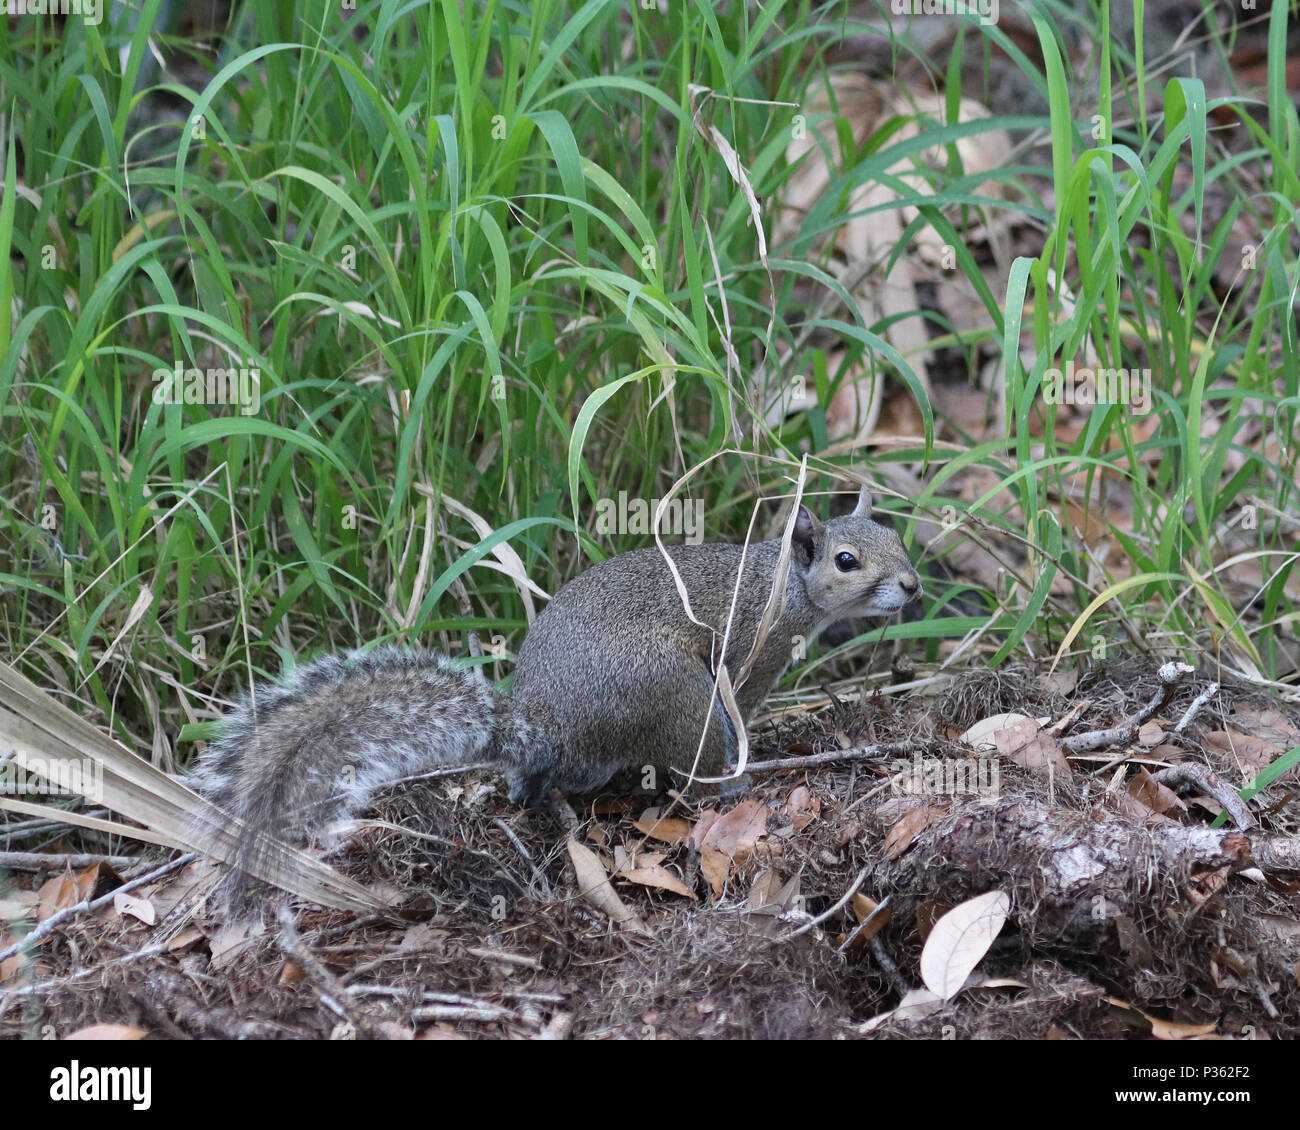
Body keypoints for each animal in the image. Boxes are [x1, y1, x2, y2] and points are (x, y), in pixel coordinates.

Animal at [192, 483, 921, 900]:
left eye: (895, 535)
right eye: (846, 561)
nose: (913, 585)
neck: (786, 586)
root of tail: (546, 719)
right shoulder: (750, 655)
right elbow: (743, 701)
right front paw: (754, 746)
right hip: (677, 694)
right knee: (692, 776)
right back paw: (734, 786)